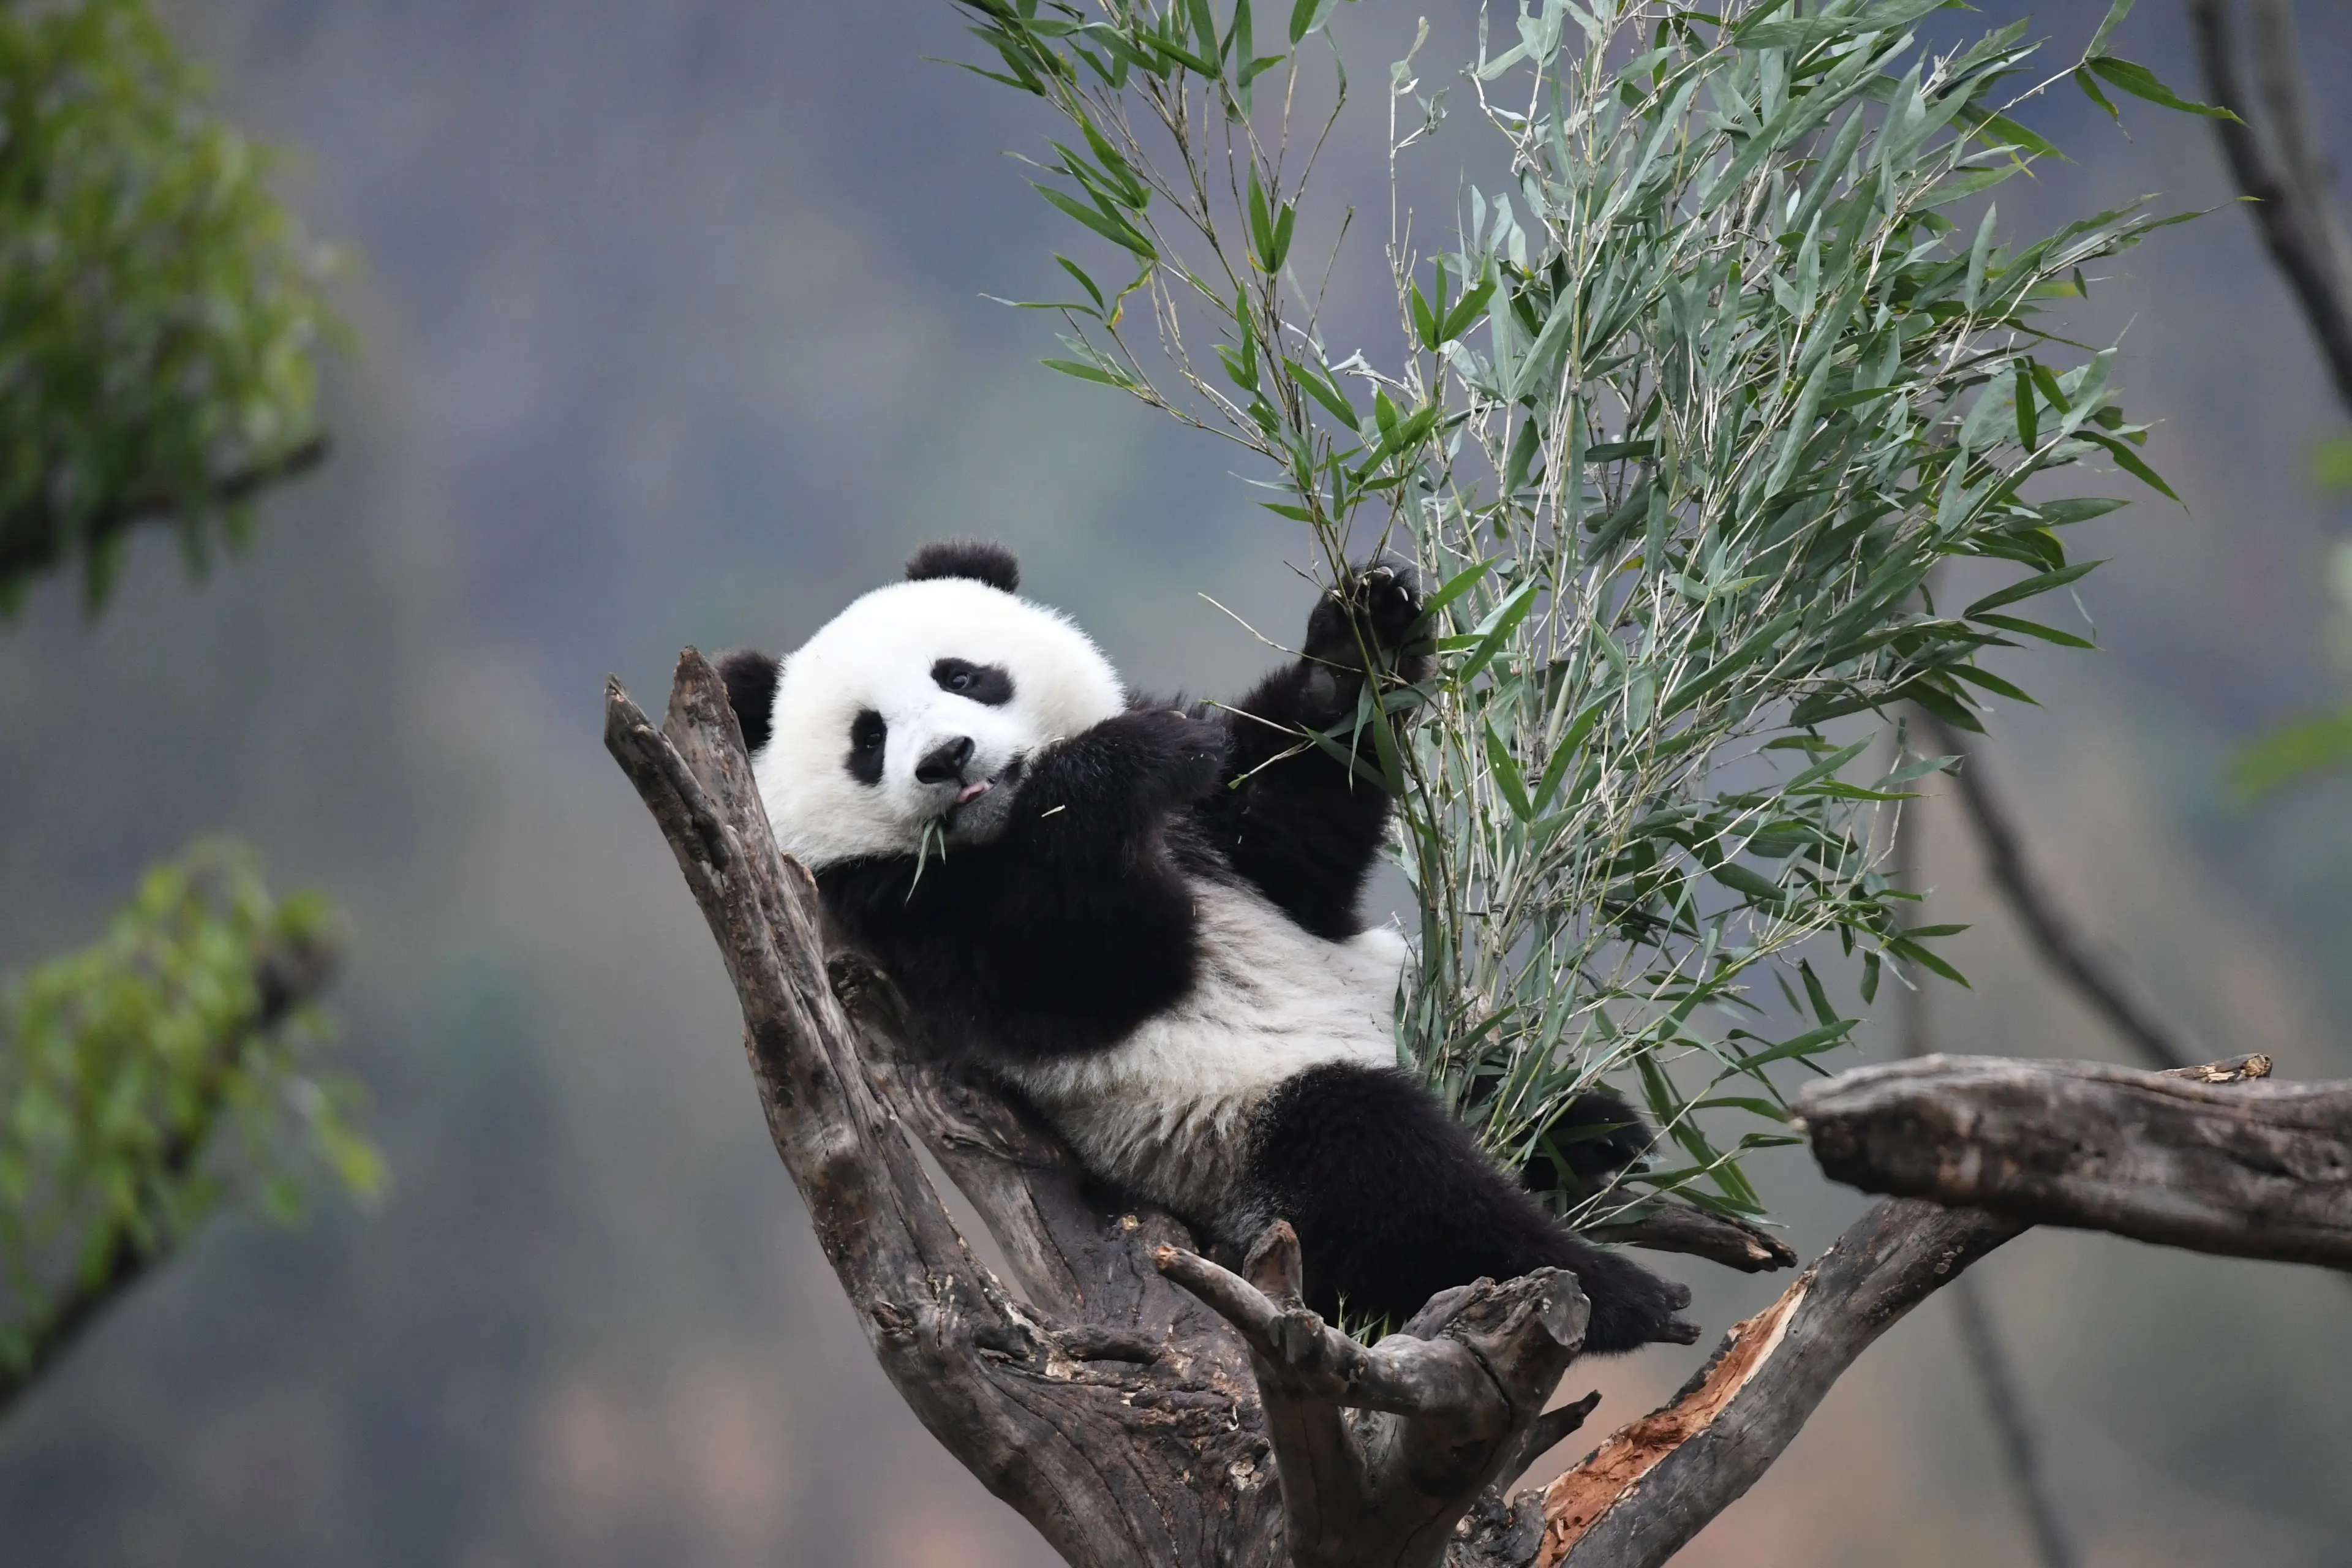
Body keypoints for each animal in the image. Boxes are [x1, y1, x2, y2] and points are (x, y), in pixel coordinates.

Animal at [717, 538, 1696, 1354]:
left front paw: (1362, 638)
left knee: (1500, 1082)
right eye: (869, 737)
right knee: (1389, 1176)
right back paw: (1618, 1294)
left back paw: (1599, 1134)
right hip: (1231, 1145)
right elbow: (1079, 966)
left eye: (964, 674)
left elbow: (1293, 822)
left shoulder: (1222, 831)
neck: (998, 824)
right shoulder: (903, 913)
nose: (948, 757)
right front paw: (1126, 760)